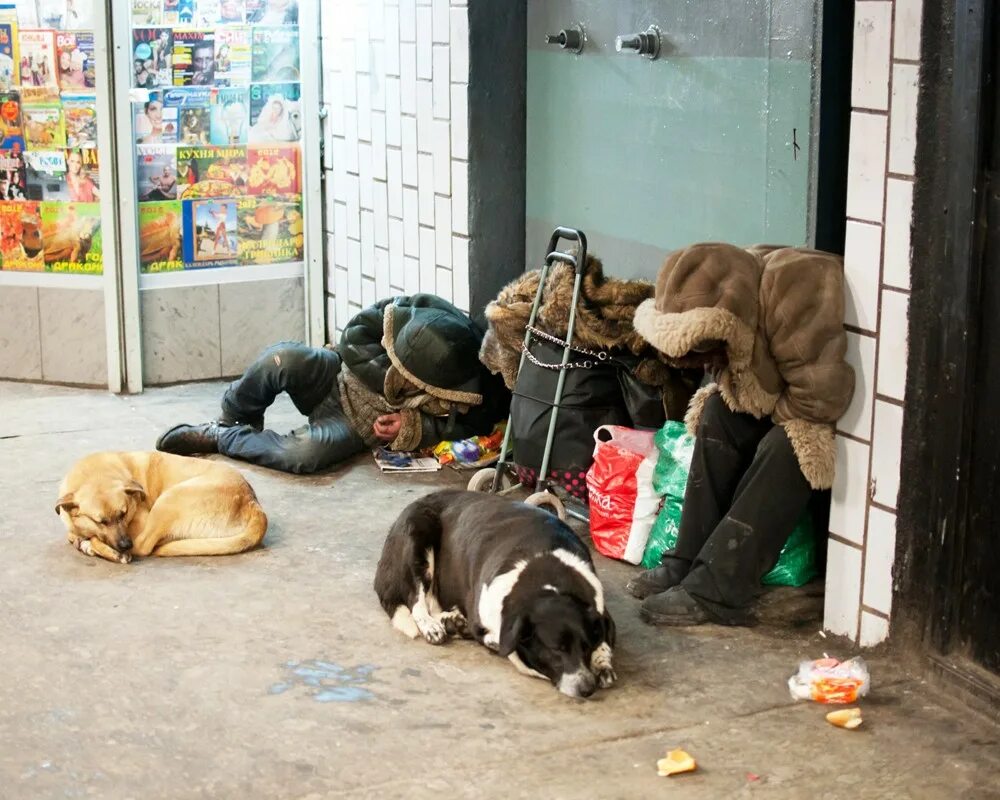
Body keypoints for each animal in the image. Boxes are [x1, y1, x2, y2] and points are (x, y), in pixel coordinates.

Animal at [56, 450, 268, 564]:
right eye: (101, 521)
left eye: (124, 514)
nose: (125, 545)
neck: (94, 472)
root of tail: (252, 502)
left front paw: (90, 543)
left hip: (168, 500)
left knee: (143, 546)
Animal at [374, 484, 612, 696]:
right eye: (556, 649)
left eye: (586, 646)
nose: (588, 689)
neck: (547, 578)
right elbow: (498, 641)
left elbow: (603, 640)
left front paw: (602, 663)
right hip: (418, 537)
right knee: (417, 600)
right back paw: (433, 626)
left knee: (433, 603)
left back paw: (452, 621)